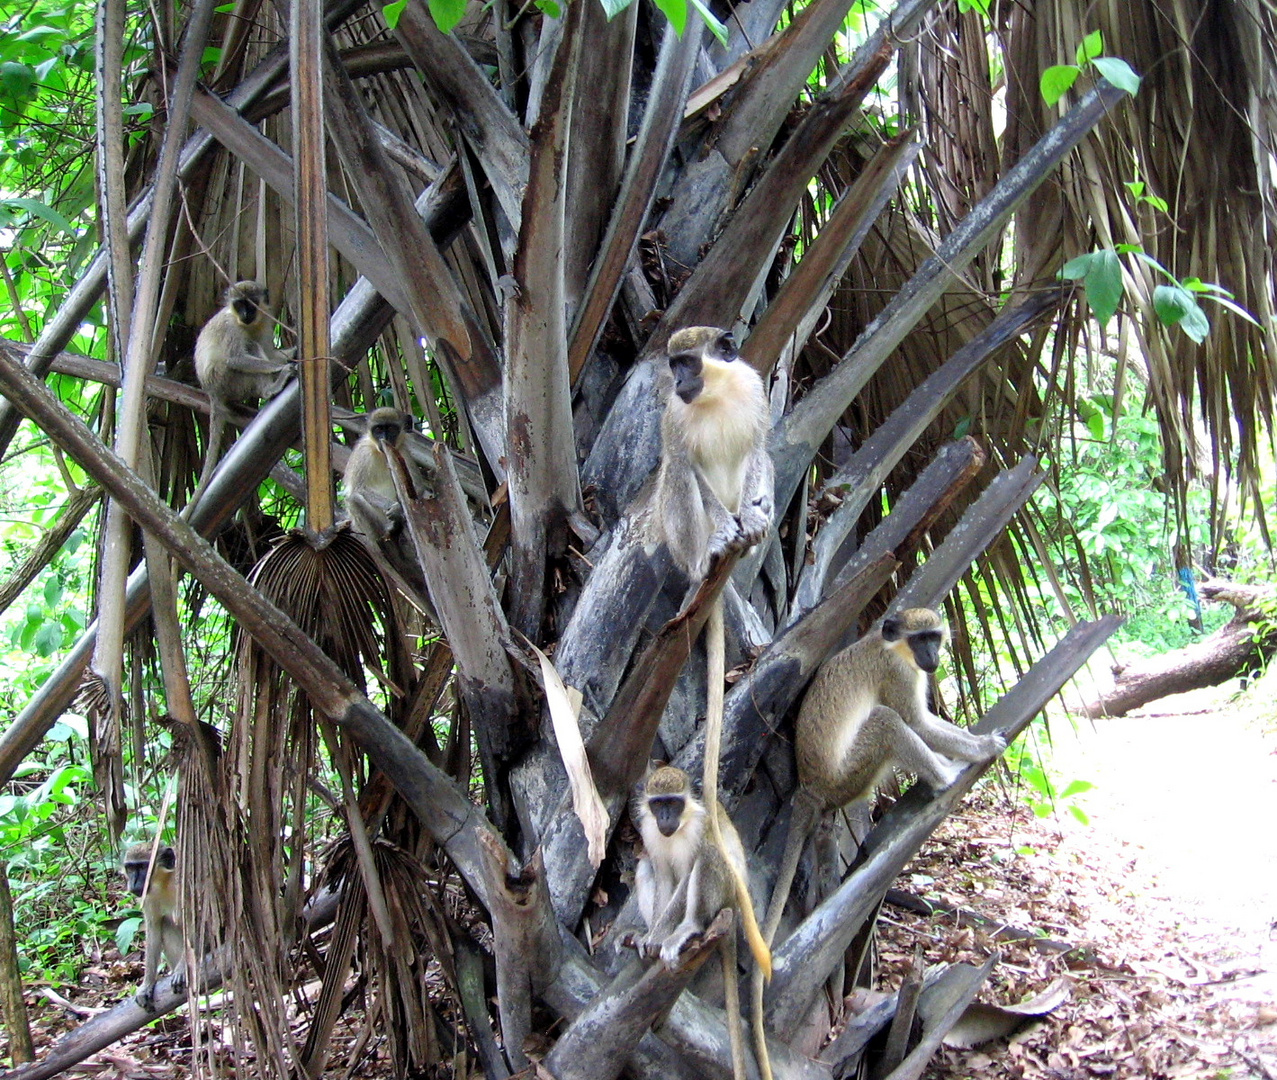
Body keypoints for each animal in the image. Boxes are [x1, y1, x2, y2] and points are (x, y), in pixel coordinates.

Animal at [120, 842, 186, 1011]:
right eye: (130, 868)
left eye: (143, 866)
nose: (134, 883)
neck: (165, 882)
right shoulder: (148, 896)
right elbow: (154, 928)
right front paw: (146, 985)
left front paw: (184, 968)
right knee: (166, 923)